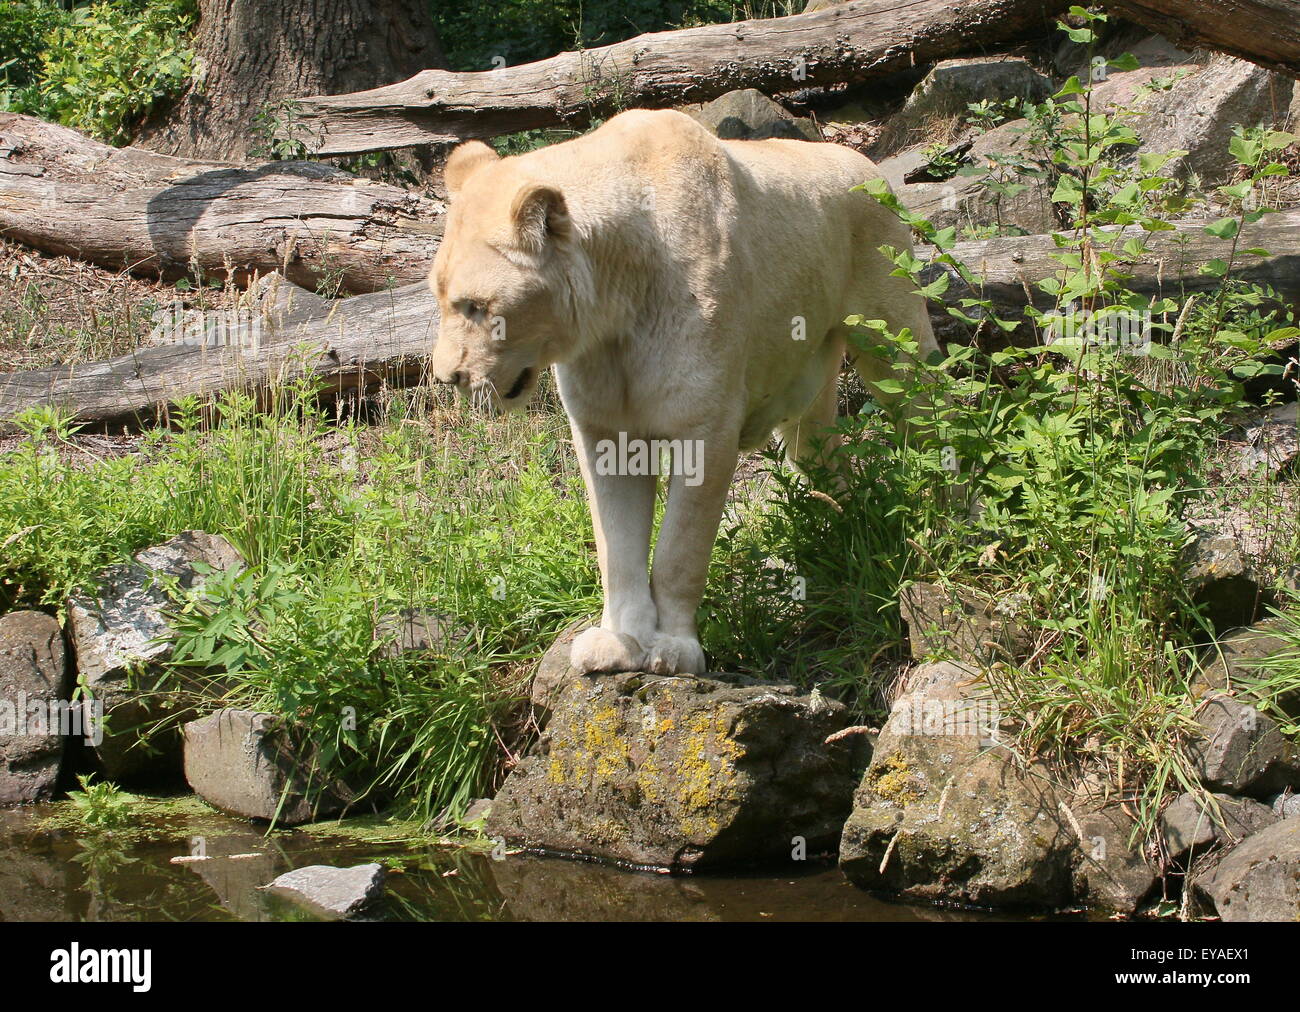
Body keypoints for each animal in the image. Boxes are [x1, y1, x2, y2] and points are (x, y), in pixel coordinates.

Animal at [429, 108, 939, 676]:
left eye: (476, 306)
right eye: (440, 297)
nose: (446, 377)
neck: (615, 313)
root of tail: (867, 165)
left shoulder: (705, 425)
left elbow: (680, 549)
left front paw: (675, 649)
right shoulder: (606, 432)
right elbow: (617, 549)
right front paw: (620, 643)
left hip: (896, 338)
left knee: (934, 417)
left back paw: (946, 519)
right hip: (808, 396)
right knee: (823, 456)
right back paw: (846, 536)